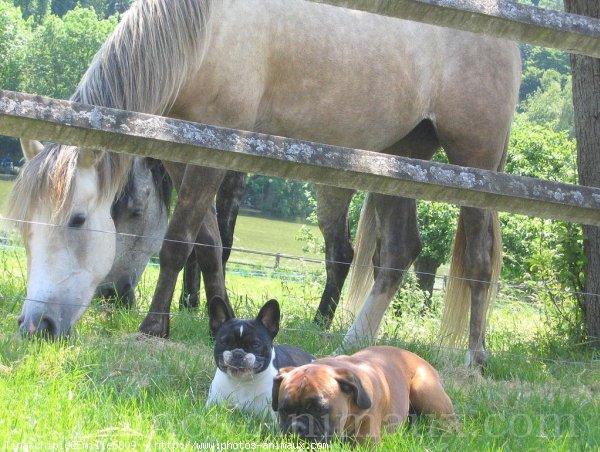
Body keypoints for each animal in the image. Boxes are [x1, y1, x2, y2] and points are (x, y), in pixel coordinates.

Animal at [8, 0, 520, 368]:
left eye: (77, 220)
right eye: (25, 230)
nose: (37, 325)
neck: (204, 34)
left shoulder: (215, 152)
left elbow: (179, 242)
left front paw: (155, 327)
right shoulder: (183, 155)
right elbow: (209, 245)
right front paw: (214, 319)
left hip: (474, 163)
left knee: (478, 258)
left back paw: (474, 357)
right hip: (402, 157)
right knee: (398, 252)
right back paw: (354, 341)